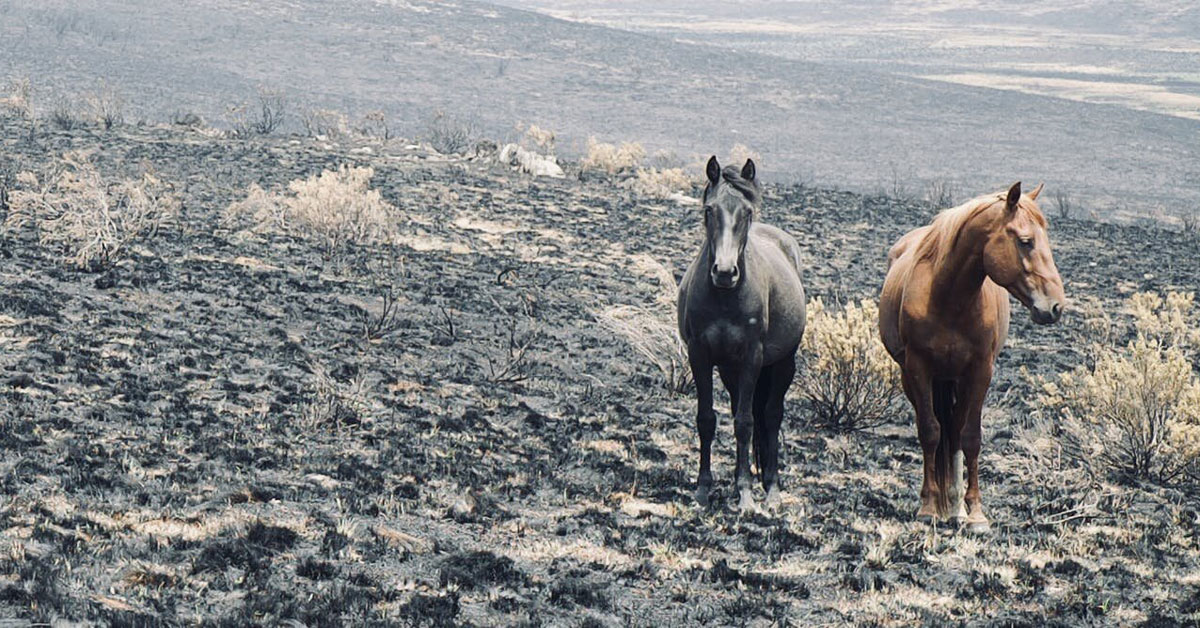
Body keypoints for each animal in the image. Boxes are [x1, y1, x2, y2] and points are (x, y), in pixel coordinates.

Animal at [676, 156, 806, 511]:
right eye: (709, 210)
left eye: (747, 212)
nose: (724, 272)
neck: (724, 299)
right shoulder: (701, 356)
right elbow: (707, 419)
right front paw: (703, 489)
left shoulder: (752, 358)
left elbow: (746, 423)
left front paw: (746, 493)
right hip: (729, 369)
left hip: (782, 364)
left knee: (771, 416)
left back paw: (772, 489)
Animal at [878, 182, 1065, 535]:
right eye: (1025, 241)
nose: (1056, 306)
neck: (949, 298)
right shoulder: (918, 368)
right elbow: (930, 432)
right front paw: (927, 507)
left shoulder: (980, 371)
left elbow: (970, 437)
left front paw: (975, 513)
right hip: (918, 378)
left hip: (957, 380)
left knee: (955, 430)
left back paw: (955, 507)